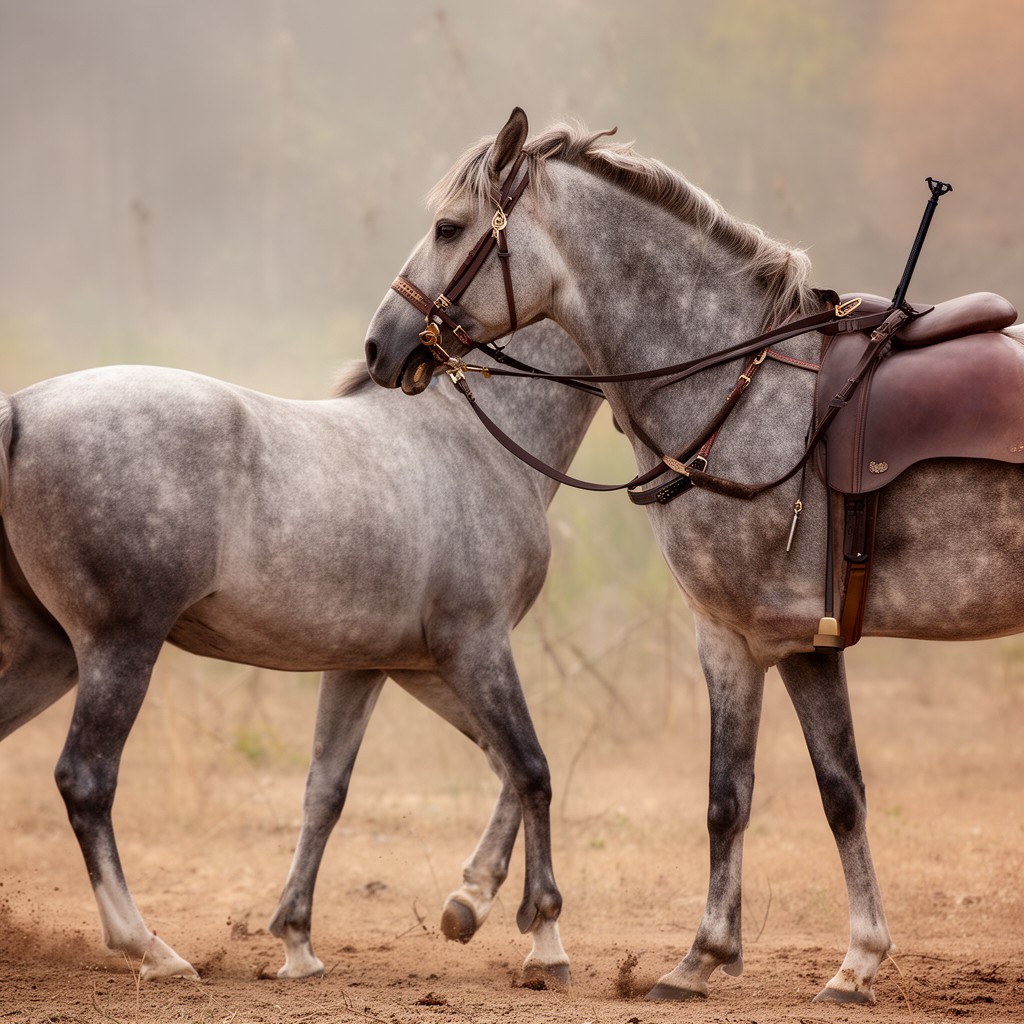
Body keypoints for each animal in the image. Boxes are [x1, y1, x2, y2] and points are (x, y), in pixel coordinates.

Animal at [0, 318, 599, 985]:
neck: (475, 442)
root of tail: (19, 409)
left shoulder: (386, 666)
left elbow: (333, 793)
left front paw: (445, 908)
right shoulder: (475, 646)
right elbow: (530, 768)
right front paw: (544, 940)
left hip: (49, 655)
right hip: (119, 646)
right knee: (86, 780)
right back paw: (151, 950)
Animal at [363, 108, 1024, 1004]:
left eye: (448, 228)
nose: (380, 346)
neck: (739, 383)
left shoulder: (745, 638)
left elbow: (743, 799)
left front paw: (719, 955)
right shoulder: (786, 643)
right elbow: (816, 794)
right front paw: (829, 959)